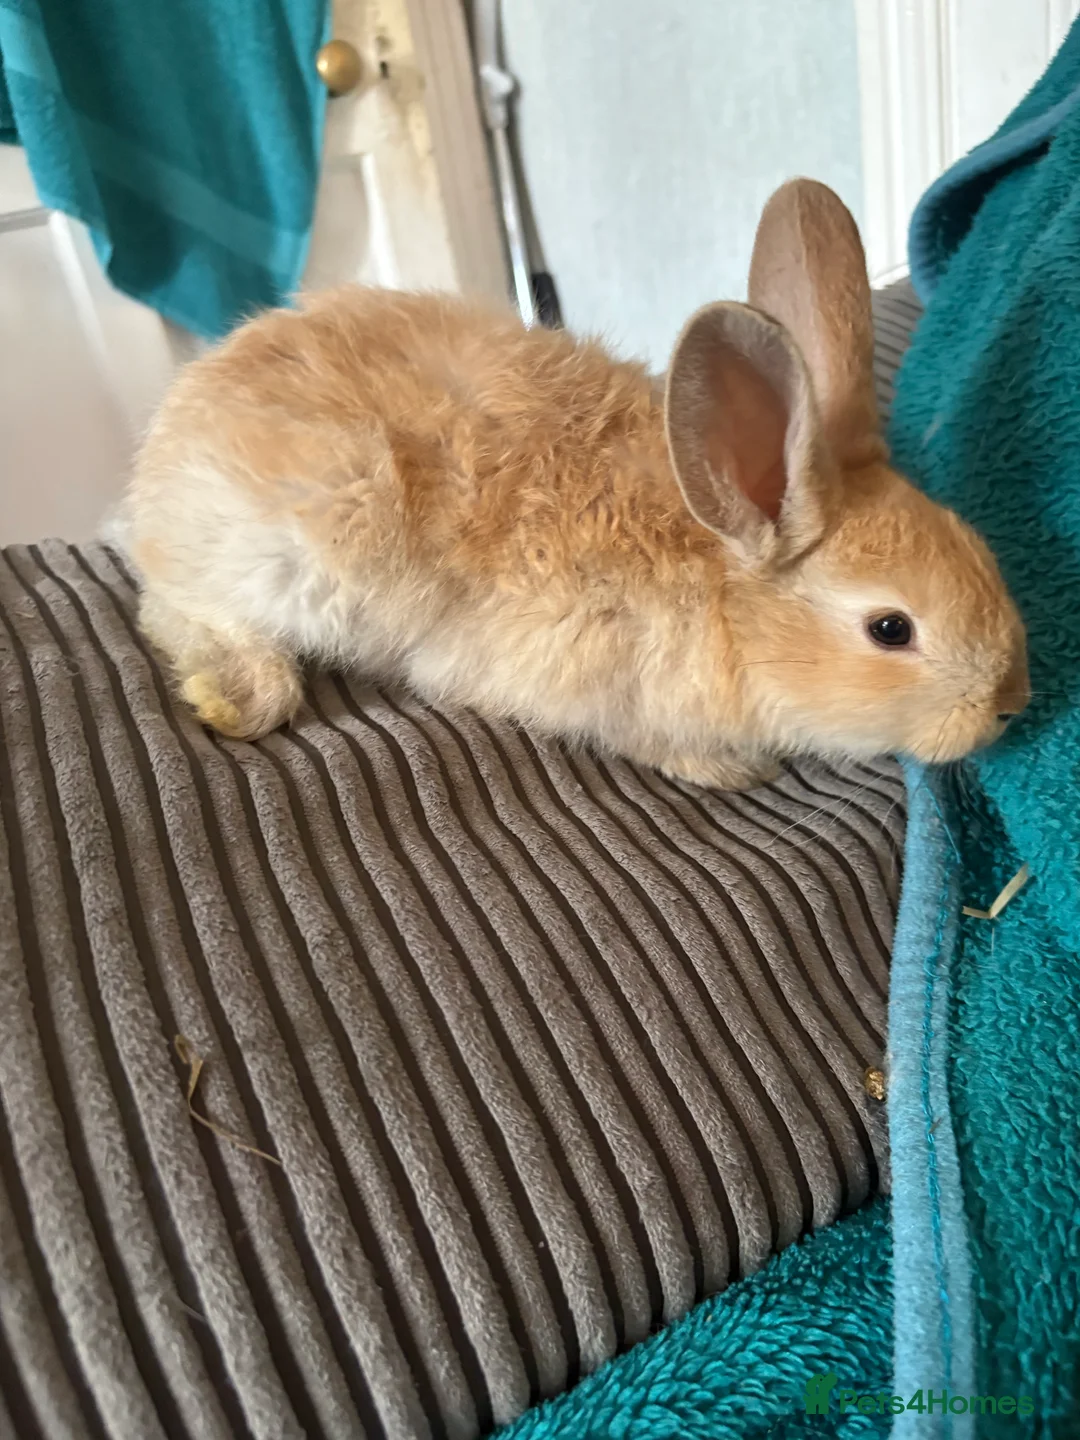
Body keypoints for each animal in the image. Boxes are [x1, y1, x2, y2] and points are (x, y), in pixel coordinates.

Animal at [121, 178, 1029, 791]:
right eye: (891, 630)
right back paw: (237, 696)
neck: (726, 589)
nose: (1011, 703)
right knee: (177, 610)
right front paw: (728, 770)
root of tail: (162, 454)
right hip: (296, 560)